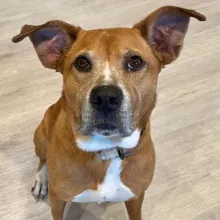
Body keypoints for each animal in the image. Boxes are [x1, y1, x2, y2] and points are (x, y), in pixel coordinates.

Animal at [12, 5, 205, 220]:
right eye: (82, 62)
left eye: (136, 62)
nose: (105, 97)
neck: (107, 150)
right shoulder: (57, 199)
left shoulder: (136, 196)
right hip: (41, 135)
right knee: (42, 159)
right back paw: (41, 179)